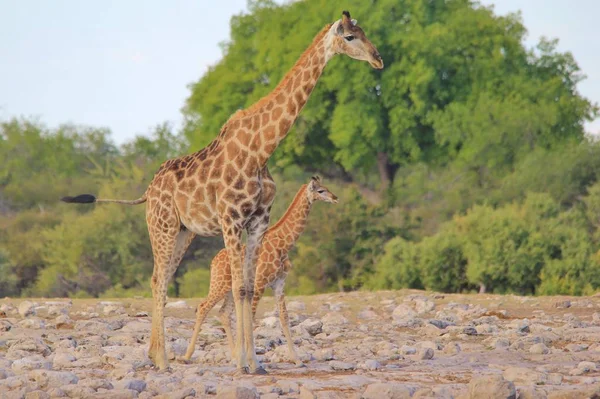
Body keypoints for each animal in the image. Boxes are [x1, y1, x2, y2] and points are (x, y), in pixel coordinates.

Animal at [184, 177, 338, 366]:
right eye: (321, 190)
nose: (335, 197)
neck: (283, 244)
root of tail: (213, 262)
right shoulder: (260, 282)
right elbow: (251, 315)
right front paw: (252, 360)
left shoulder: (279, 282)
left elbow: (284, 317)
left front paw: (297, 359)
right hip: (219, 284)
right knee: (203, 307)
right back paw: (188, 355)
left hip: (230, 289)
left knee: (224, 313)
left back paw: (234, 355)